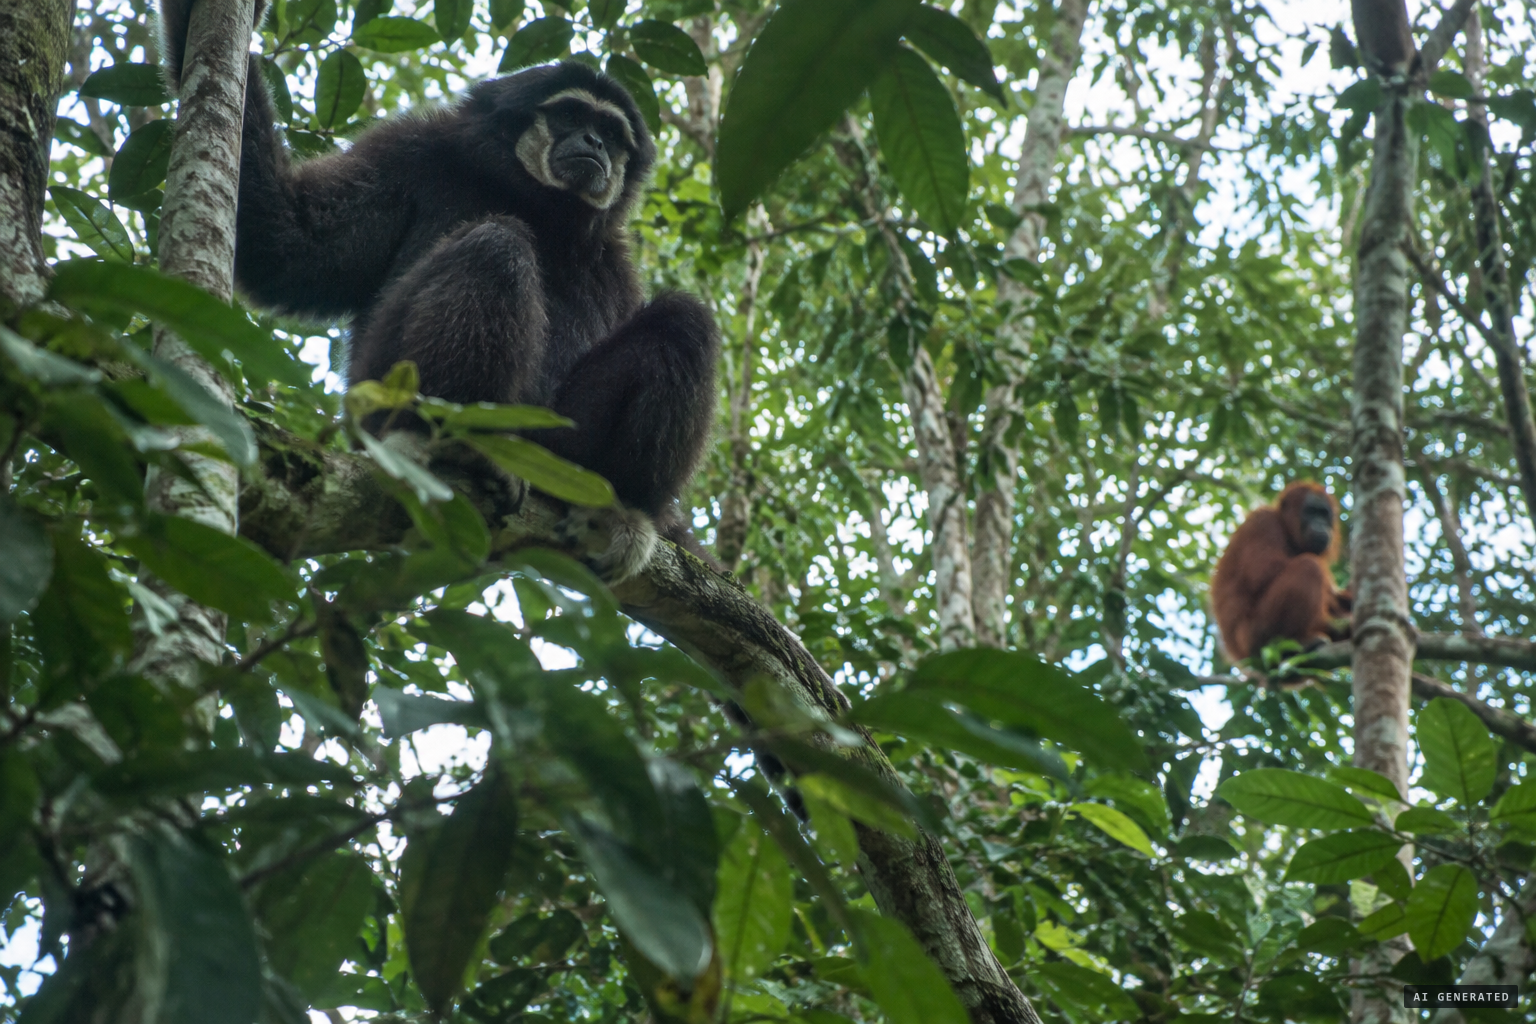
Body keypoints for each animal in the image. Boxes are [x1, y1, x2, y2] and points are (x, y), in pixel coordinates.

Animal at [156, 3, 720, 581]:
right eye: (569, 117)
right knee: (496, 245)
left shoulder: (615, 258)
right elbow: (288, 241)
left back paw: (618, 508)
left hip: (557, 448)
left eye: (610, 130)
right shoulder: (409, 153)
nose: (595, 144)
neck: (533, 200)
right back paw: (441, 443)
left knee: (684, 320)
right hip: (379, 384)